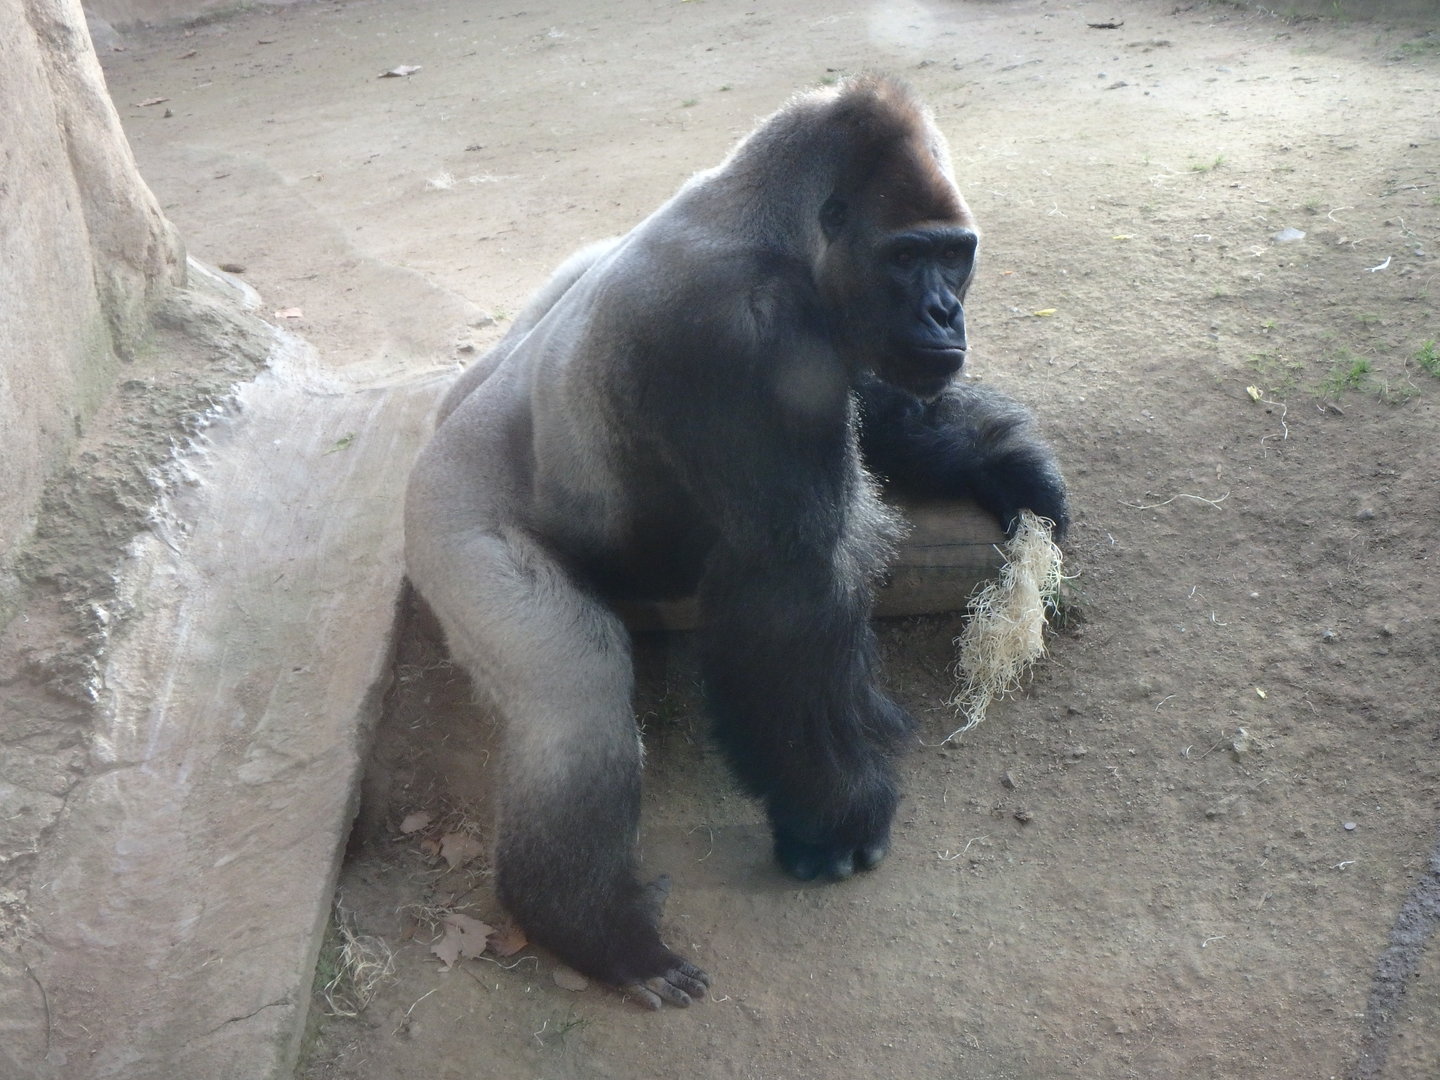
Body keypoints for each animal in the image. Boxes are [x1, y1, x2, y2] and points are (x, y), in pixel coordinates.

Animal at [403, 75, 1068, 1009]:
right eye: (907, 258)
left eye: (956, 255)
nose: (946, 313)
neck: (769, 225)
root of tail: (430, 449)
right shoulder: (744, 339)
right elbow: (786, 594)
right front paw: (837, 818)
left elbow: (881, 405)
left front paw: (1004, 467)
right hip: (446, 529)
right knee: (571, 688)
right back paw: (589, 928)